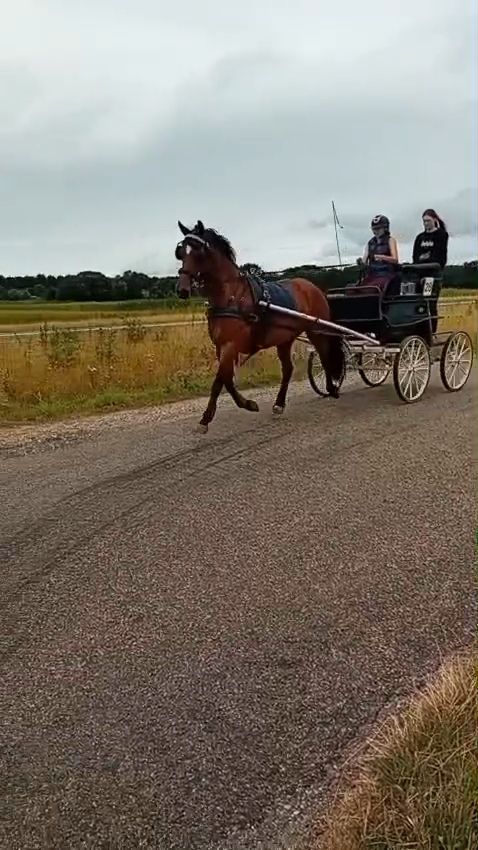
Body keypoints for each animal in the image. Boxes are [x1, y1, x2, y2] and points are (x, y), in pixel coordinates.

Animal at [175, 220, 345, 432]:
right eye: (180, 252)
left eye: (198, 252)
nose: (181, 289)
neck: (231, 296)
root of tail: (312, 286)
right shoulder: (220, 346)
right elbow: (226, 380)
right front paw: (240, 406)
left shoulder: (230, 344)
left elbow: (220, 380)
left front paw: (211, 417)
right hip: (285, 339)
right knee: (288, 369)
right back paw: (279, 404)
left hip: (316, 330)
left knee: (324, 356)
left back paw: (331, 389)